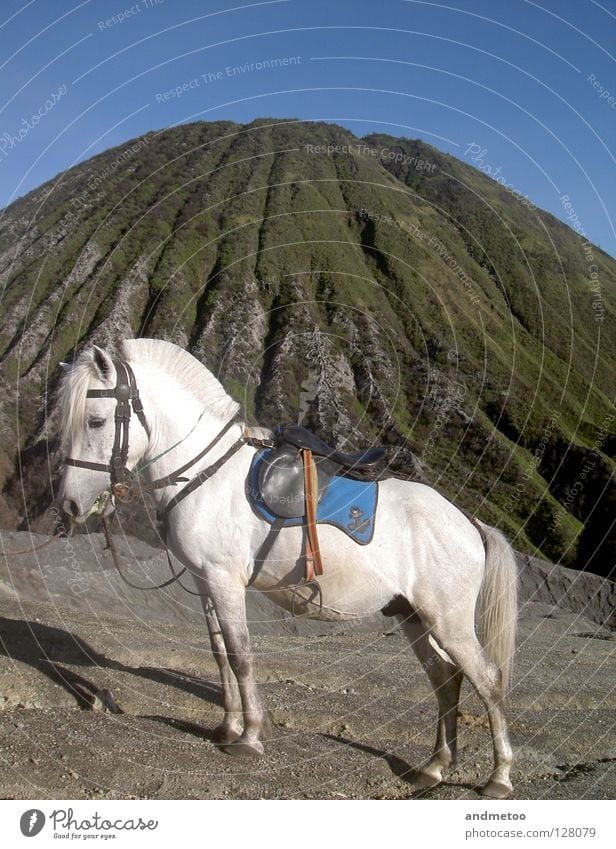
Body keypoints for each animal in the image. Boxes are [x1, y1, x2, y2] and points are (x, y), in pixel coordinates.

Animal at [59, 336, 520, 796]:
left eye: (96, 421)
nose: (71, 505)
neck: (206, 474)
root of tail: (469, 522)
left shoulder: (226, 581)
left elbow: (241, 655)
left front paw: (249, 737)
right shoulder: (206, 581)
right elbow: (220, 654)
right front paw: (227, 726)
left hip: (448, 619)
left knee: (488, 679)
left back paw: (498, 776)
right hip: (412, 615)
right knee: (445, 678)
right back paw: (435, 766)